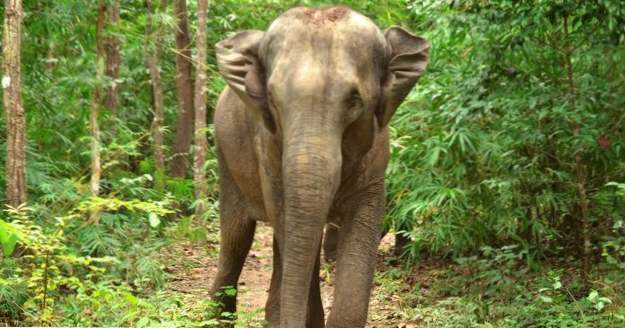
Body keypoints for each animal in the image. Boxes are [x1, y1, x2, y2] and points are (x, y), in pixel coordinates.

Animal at [210, 5, 428, 328]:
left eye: (354, 100)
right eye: (272, 99)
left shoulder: (377, 154)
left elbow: (361, 223)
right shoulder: (268, 147)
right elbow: (287, 222)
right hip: (226, 155)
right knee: (236, 237)